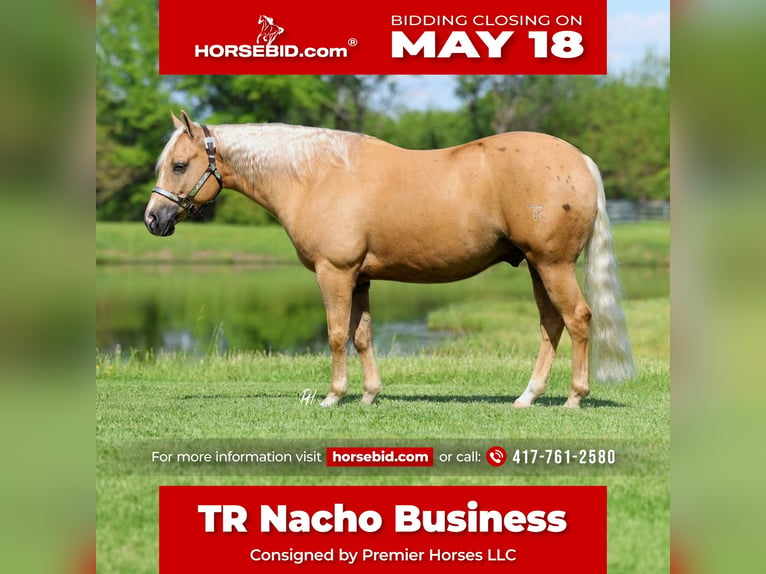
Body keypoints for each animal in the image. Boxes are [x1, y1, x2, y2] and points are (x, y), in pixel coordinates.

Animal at [145, 110, 635, 408]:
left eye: (180, 165)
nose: (153, 219)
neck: (315, 175)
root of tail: (579, 159)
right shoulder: (359, 278)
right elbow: (362, 336)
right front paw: (368, 395)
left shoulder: (334, 273)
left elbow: (336, 335)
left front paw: (333, 396)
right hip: (537, 265)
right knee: (551, 324)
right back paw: (528, 396)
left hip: (553, 264)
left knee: (577, 319)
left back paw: (574, 397)